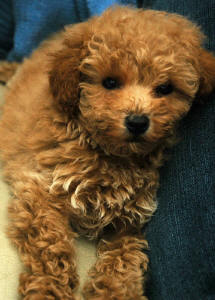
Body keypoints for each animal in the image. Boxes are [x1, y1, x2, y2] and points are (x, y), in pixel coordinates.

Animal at [0, 5, 215, 300]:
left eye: (165, 88)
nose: (137, 122)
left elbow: (125, 257)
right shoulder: (39, 188)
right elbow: (50, 246)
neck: (108, 154)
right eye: (110, 82)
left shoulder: (131, 217)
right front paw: (48, 288)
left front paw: (116, 291)